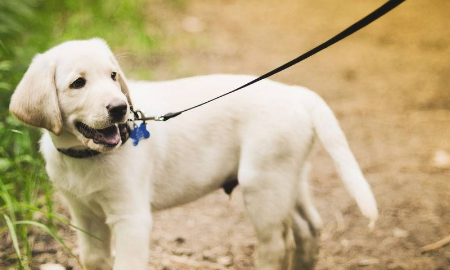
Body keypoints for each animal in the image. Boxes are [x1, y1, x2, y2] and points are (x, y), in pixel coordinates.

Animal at [8, 38, 378, 270]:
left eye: (113, 76)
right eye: (78, 84)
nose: (120, 108)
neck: (84, 156)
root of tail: (296, 93)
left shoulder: (131, 217)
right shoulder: (84, 214)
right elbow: (95, 260)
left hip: (263, 185)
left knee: (277, 244)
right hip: (288, 177)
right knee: (308, 227)